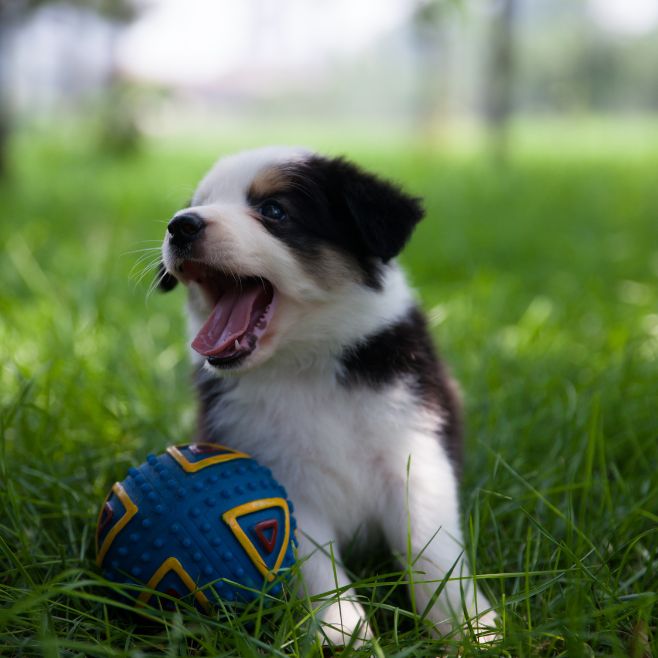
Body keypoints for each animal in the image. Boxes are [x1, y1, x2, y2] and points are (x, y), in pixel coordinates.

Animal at [159, 146, 494, 644]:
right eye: (200, 203)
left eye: (274, 210)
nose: (180, 225)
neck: (306, 367)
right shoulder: (281, 471)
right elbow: (316, 563)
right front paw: (344, 634)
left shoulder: (416, 447)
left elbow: (431, 546)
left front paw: (469, 626)